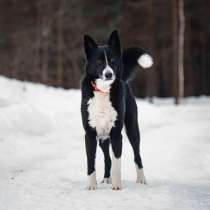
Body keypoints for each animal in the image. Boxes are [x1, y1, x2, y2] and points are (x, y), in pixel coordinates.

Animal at [81, 30, 153, 190]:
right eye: (99, 62)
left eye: (113, 61)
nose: (109, 74)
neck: (103, 90)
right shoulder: (90, 134)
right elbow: (91, 162)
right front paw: (91, 186)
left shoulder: (116, 134)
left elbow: (117, 162)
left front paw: (117, 186)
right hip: (103, 138)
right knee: (107, 158)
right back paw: (106, 178)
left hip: (132, 129)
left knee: (137, 155)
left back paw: (141, 179)